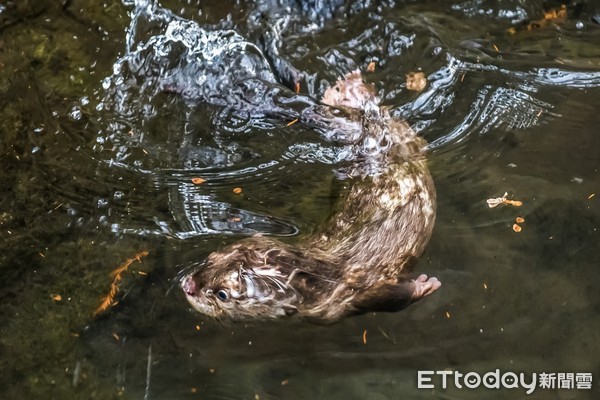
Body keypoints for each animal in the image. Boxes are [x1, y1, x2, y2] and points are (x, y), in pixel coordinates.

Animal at [180, 70, 438, 324]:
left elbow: (389, 298)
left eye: (222, 294)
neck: (324, 273)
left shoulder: (349, 293)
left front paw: (423, 286)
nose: (188, 285)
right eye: (210, 258)